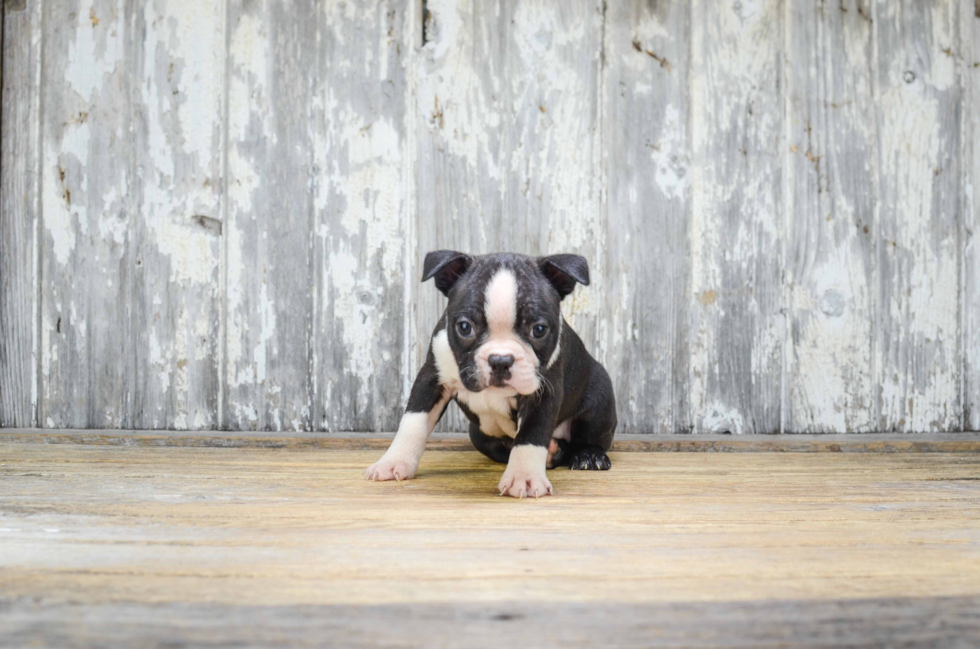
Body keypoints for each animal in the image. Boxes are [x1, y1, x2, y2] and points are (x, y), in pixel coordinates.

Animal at [364, 251, 616, 498]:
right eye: (465, 327)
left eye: (539, 330)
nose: (501, 360)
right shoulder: (431, 379)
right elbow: (413, 422)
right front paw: (393, 462)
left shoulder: (543, 392)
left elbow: (531, 435)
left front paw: (524, 477)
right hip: (477, 434)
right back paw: (552, 453)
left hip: (600, 398)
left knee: (590, 437)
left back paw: (588, 456)